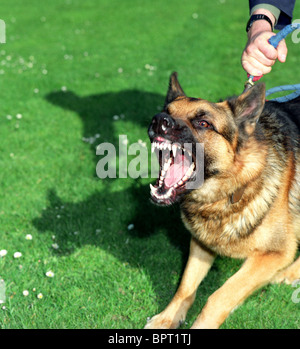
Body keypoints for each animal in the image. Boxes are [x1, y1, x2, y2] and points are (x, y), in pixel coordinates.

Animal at [145, 72, 298, 328]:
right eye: (167, 110)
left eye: (203, 123)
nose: (159, 120)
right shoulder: (201, 243)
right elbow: (185, 288)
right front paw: (166, 319)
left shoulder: (274, 254)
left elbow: (219, 297)